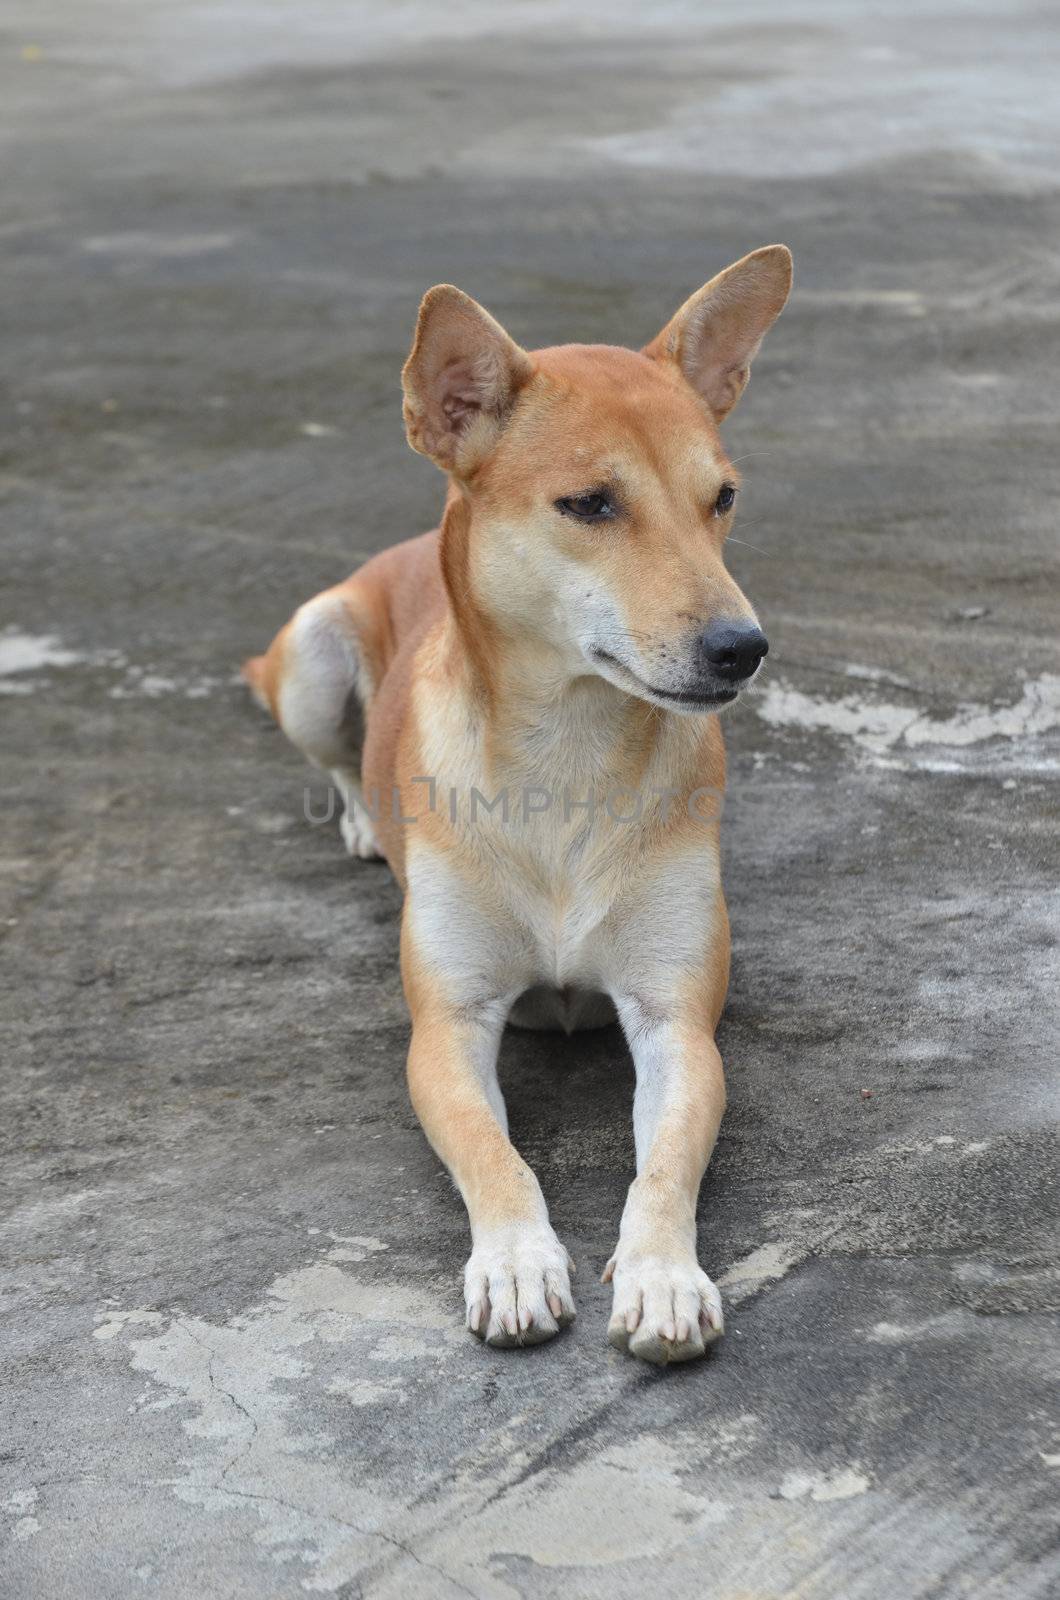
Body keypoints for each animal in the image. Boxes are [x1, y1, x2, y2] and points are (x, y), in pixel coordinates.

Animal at [246, 246, 797, 1363]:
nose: (742, 648)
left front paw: (664, 1273)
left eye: (721, 497)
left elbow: (667, 1160)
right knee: (335, 751)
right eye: (589, 504)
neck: (566, 756)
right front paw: (513, 1259)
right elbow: (493, 1155)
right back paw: (363, 818)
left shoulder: (677, 1019)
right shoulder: (446, 1026)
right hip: (314, 654)